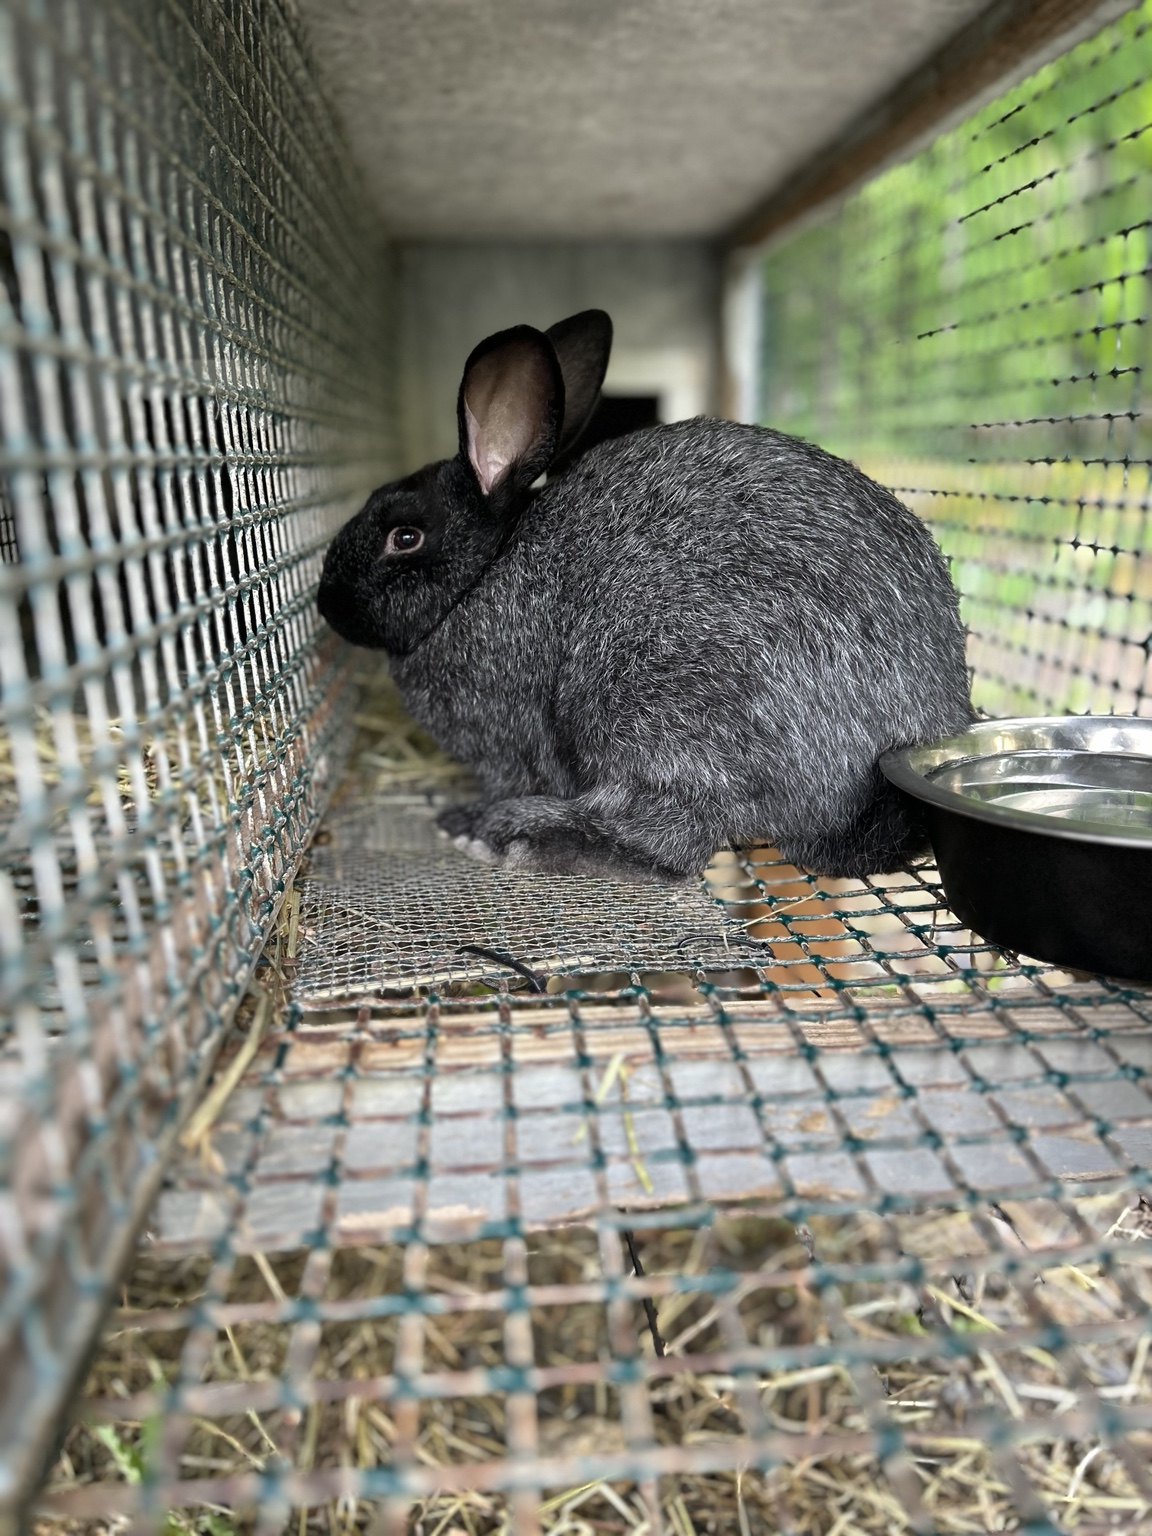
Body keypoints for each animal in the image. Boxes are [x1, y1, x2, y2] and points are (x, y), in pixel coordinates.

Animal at [317, 308, 974, 883]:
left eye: (404, 537)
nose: (327, 606)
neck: (482, 576)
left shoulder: (505, 743)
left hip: (646, 701)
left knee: (670, 841)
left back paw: (510, 833)